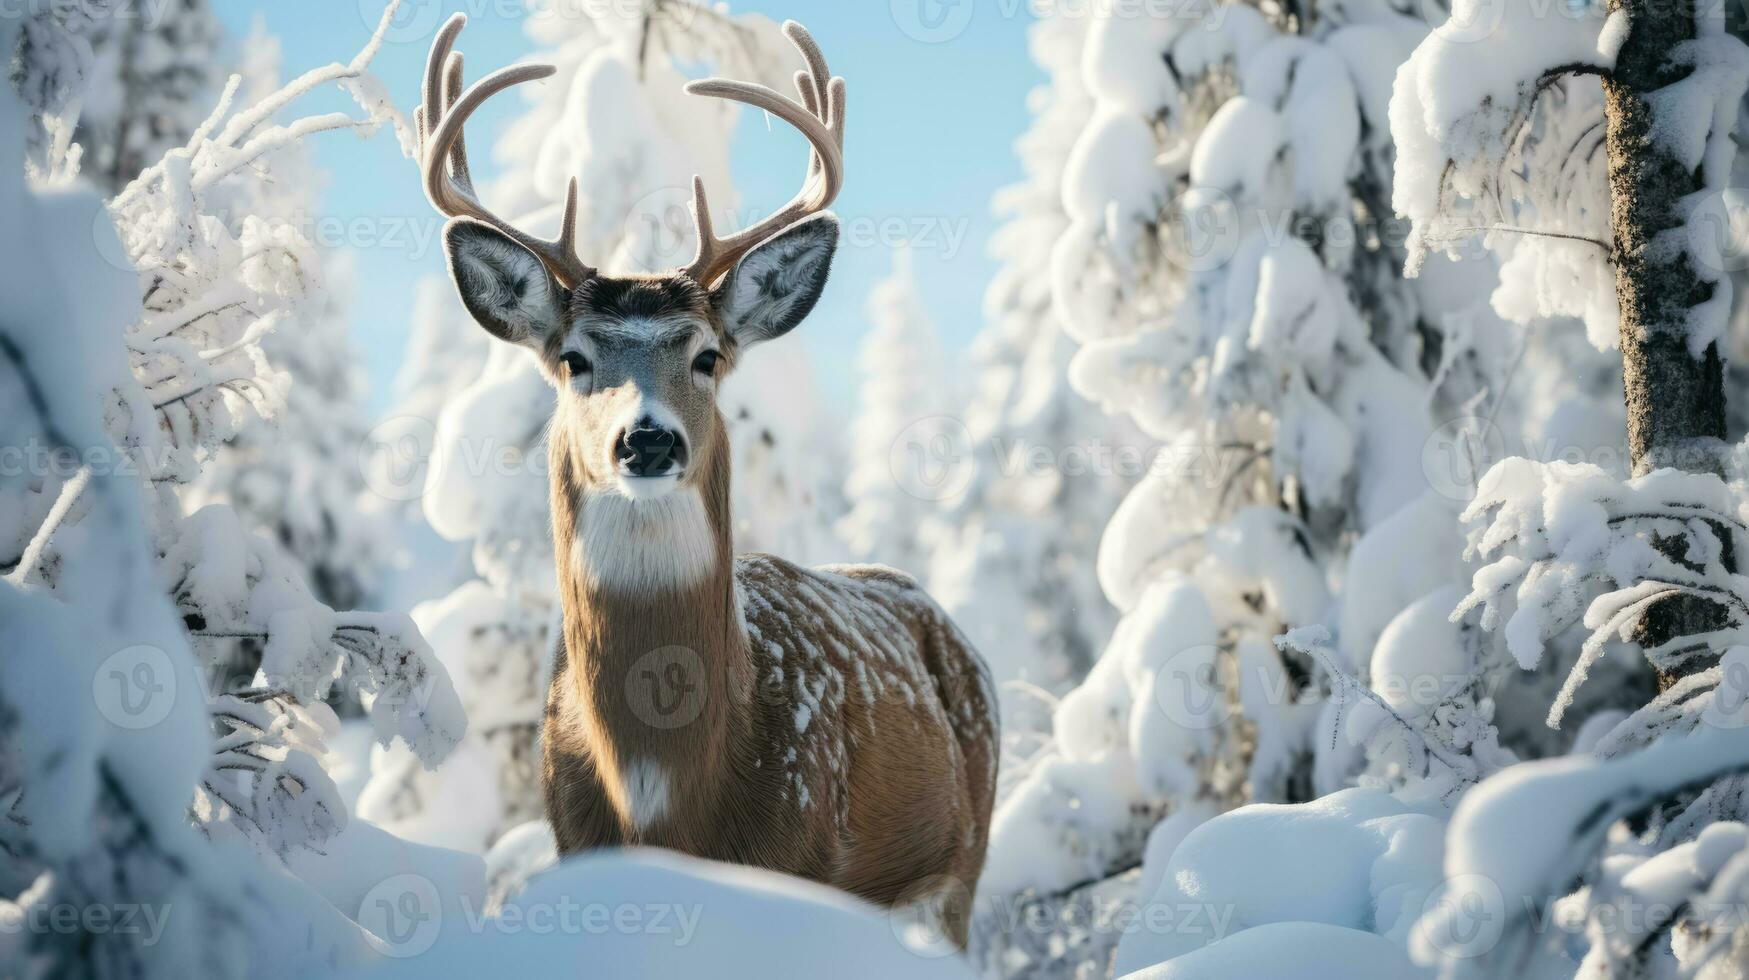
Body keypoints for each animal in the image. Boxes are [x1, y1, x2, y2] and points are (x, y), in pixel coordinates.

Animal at [412, 13, 1000, 952]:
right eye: (573, 359)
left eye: (707, 356)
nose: (647, 439)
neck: (670, 792)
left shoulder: (801, 865)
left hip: (960, 865)